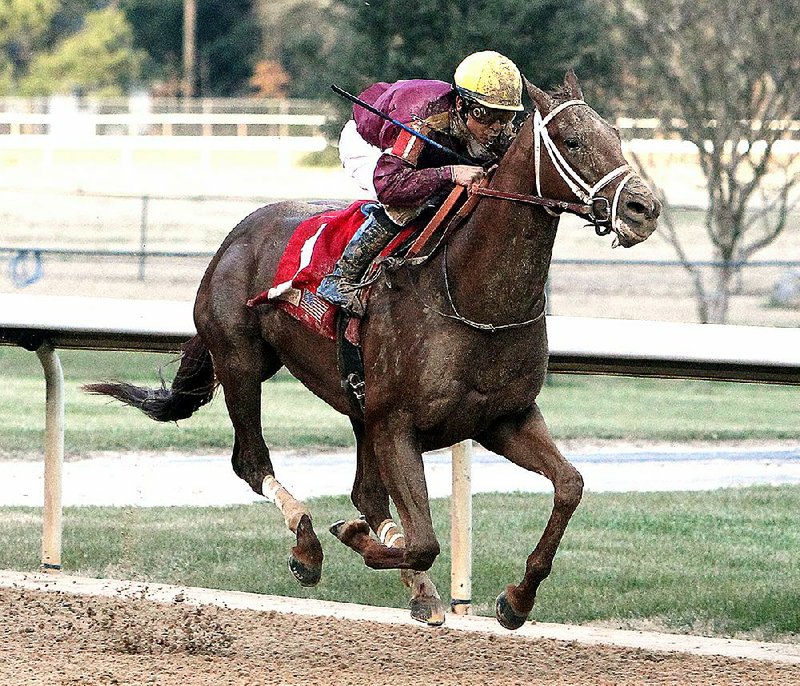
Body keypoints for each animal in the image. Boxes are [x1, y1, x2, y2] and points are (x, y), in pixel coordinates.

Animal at [87, 72, 664, 632]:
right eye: (571, 140)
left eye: (617, 136)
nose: (645, 209)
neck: (470, 294)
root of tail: (236, 236)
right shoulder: (397, 423)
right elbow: (425, 540)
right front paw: (355, 538)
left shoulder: (505, 418)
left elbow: (569, 486)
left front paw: (516, 599)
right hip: (241, 361)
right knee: (251, 462)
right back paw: (309, 545)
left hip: (355, 401)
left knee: (366, 492)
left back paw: (412, 582)